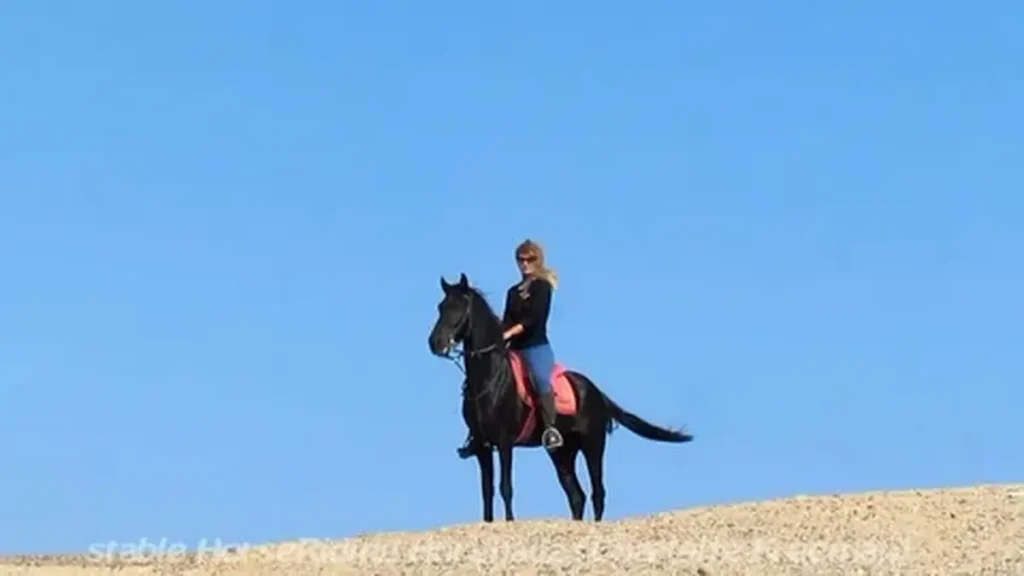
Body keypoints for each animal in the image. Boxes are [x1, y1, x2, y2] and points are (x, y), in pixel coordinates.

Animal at [427, 273, 693, 522]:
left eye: (459, 307)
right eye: (441, 307)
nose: (435, 343)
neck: (489, 378)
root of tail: (597, 392)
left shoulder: (504, 442)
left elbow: (505, 487)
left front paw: (509, 522)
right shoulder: (483, 446)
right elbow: (487, 492)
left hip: (592, 444)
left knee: (597, 492)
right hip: (562, 452)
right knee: (577, 496)